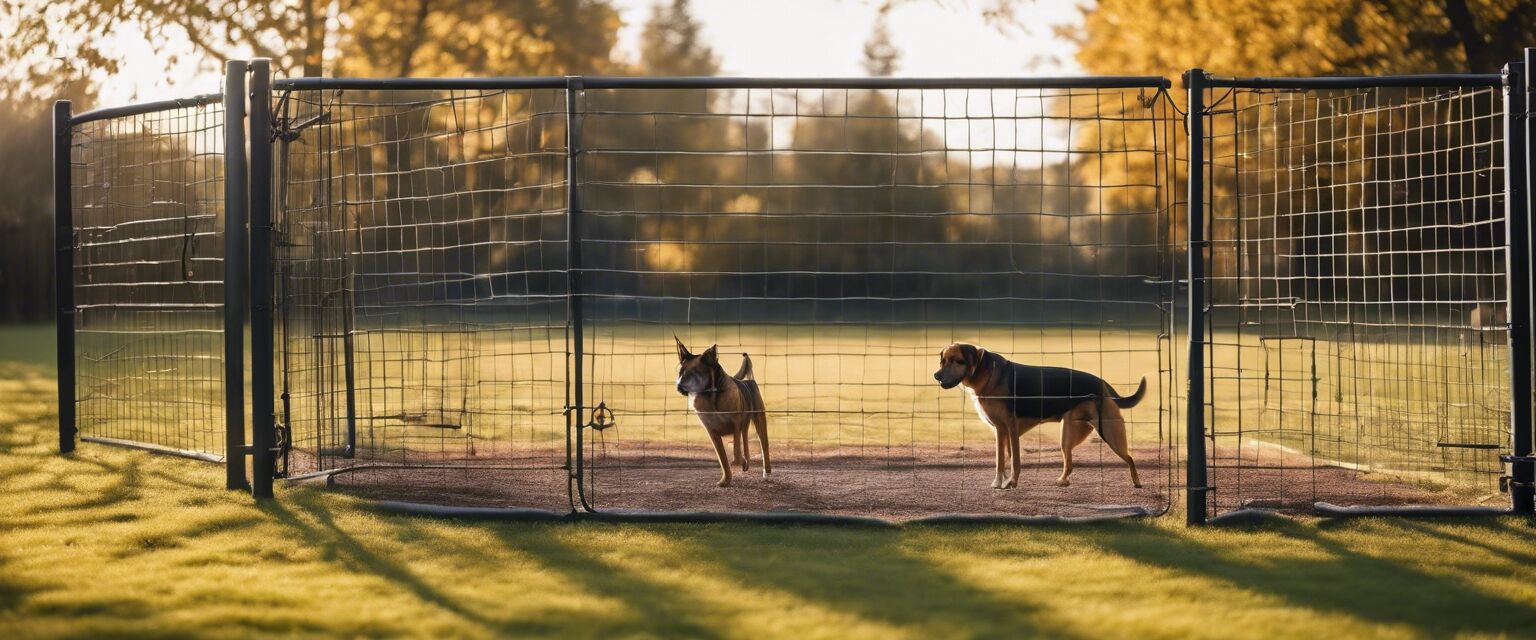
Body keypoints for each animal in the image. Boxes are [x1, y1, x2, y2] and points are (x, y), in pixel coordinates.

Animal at [675, 336, 774, 484]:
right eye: (680, 373)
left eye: (694, 373)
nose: (678, 386)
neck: (711, 395)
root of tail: (749, 381)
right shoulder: (712, 432)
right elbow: (722, 458)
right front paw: (726, 480)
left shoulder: (736, 423)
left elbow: (736, 450)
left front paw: (739, 462)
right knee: (745, 441)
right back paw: (747, 463)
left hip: (759, 421)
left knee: (763, 445)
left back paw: (766, 471)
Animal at [927, 343, 1148, 488]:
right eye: (943, 361)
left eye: (957, 361)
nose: (936, 375)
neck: (988, 375)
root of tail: (1102, 383)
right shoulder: (1000, 431)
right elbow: (1000, 460)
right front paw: (999, 482)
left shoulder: (1011, 429)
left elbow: (1014, 461)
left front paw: (1011, 483)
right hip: (1068, 435)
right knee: (1069, 464)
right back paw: (1063, 481)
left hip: (1109, 432)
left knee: (1130, 458)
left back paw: (1137, 482)